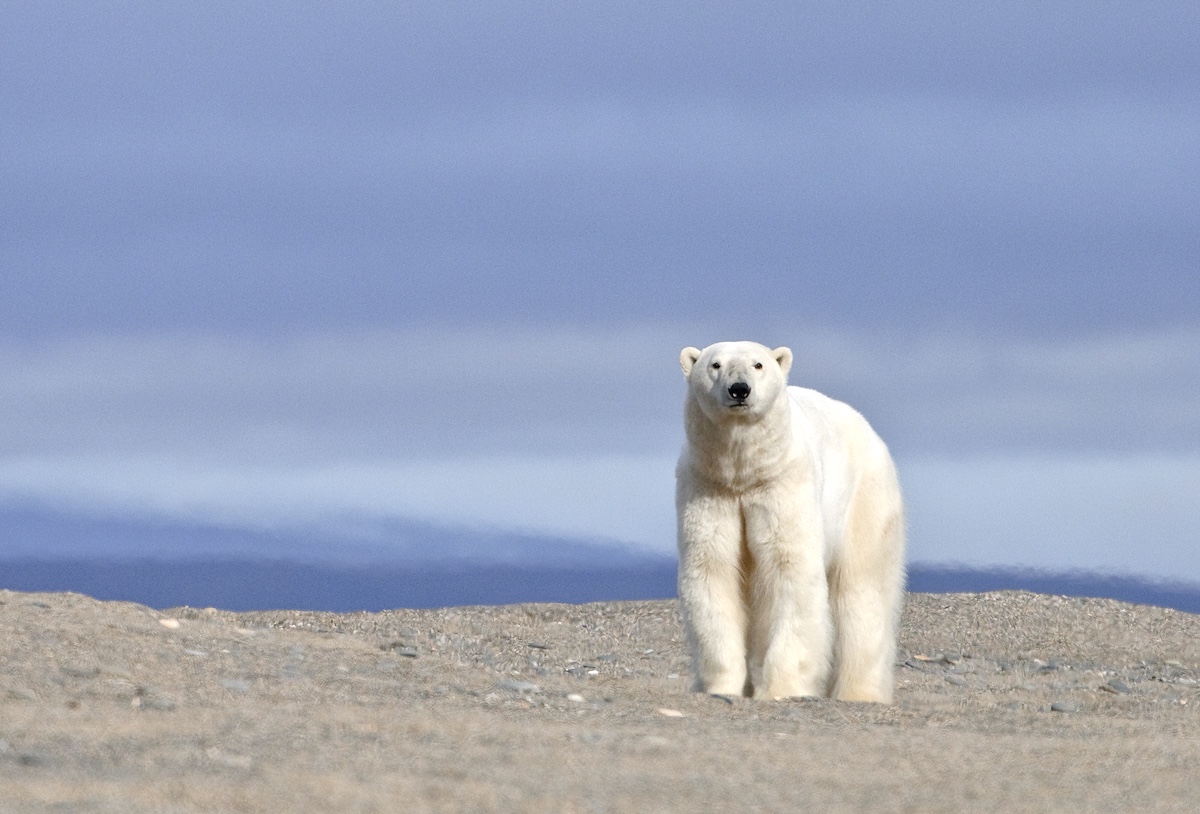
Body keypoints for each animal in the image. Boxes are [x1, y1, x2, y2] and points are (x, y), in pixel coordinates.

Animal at [676, 341, 905, 703]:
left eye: (758, 364)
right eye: (715, 365)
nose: (739, 389)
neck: (743, 473)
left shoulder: (784, 484)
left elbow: (790, 569)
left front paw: (783, 689)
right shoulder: (709, 489)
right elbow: (712, 570)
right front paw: (721, 687)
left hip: (864, 500)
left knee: (862, 590)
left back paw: (860, 692)